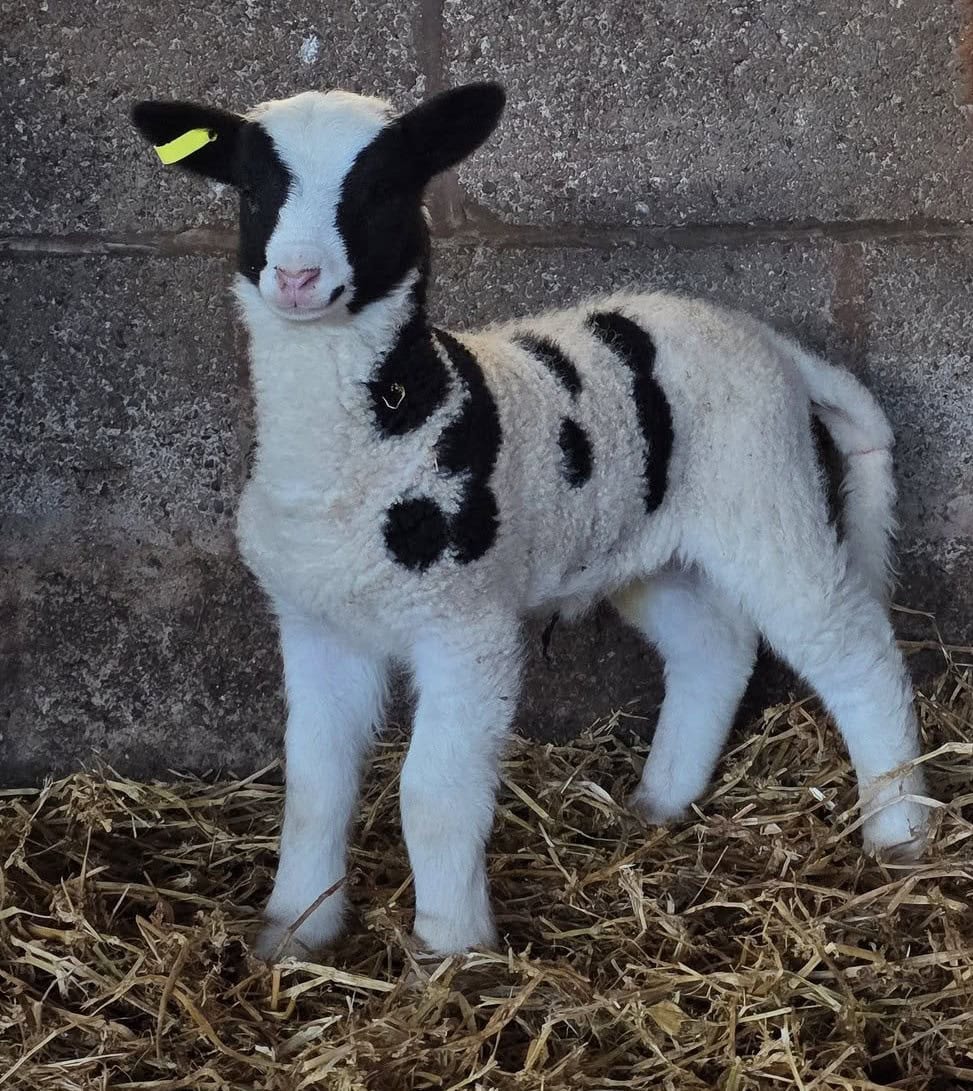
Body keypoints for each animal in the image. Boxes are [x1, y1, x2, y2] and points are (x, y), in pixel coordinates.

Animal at [131, 82, 931, 959]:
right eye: (251, 191)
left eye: (379, 190)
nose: (299, 276)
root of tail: (779, 347)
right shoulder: (317, 621)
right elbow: (313, 781)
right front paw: (293, 935)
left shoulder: (465, 626)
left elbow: (432, 792)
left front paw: (450, 949)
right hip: (644, 544)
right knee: (712, 647)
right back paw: (658, 802)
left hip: (762, 491)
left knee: (852, 649)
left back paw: (900, 833)